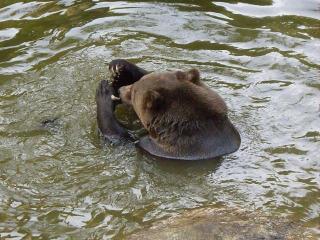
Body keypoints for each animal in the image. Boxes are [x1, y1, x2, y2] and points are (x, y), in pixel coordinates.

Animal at [95, 59, 240, 160]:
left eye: (133, 92)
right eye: (135, 84)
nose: (120, 90)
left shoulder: (156, 148)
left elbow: (117, 136)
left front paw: (104, 91)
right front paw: (118, 69)